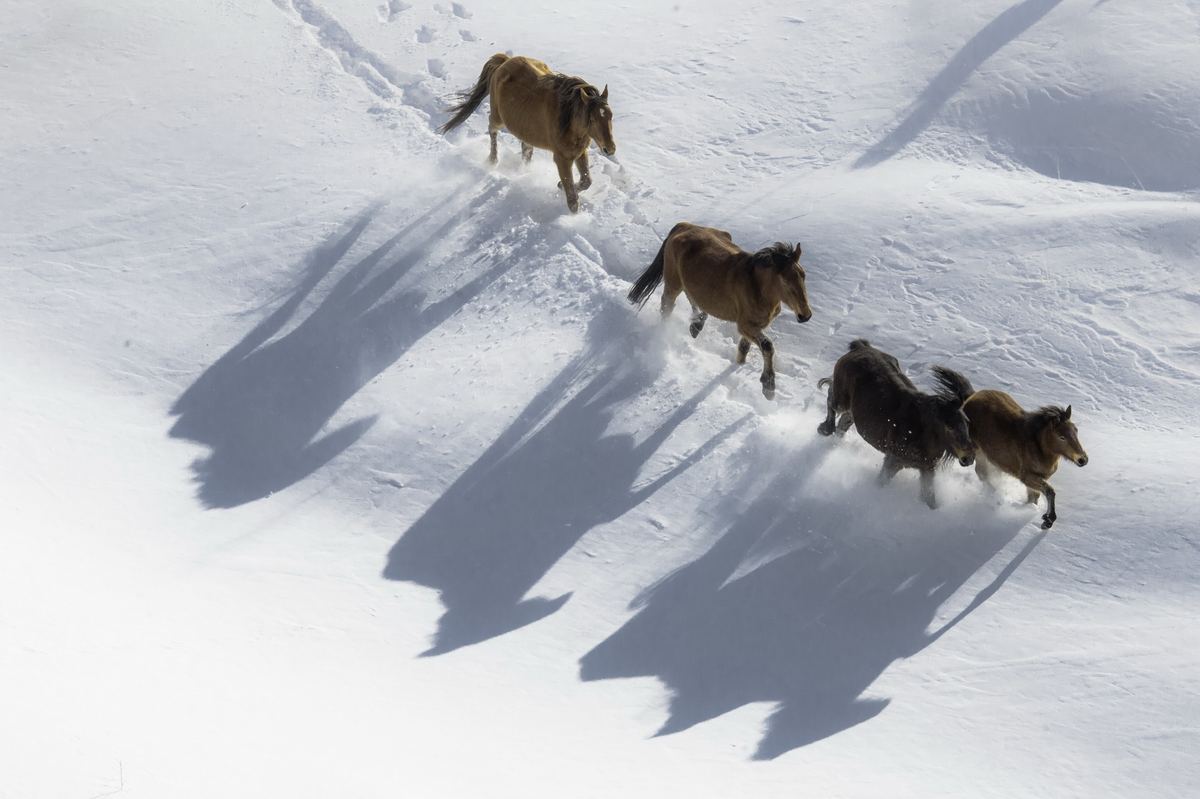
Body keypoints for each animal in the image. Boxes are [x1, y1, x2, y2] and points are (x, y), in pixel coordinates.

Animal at [439, 53, 616, 214]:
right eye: (592, 119)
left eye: (610, 115)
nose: (610, 149)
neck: (567, 120)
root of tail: (505, 61)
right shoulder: (562, 158)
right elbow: (572, 200)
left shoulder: (579, 152)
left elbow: (586, 181)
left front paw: (559, 185)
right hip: (498, 118)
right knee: (492, 130)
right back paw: (493, 160)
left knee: (526, 148)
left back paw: (524, 169)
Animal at [626, 222, 813, 399]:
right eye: (785, 281)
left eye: (803, 275)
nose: (805, 315)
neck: (756, 286)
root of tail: (682, 225)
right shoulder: (745, 325)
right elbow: (767, 346)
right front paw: (768, 387)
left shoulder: (753, 326)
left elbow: (744, 348)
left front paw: (740, 366)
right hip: (673, 284)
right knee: (667, 307)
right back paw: (665, 335)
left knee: (692, 297)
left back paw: (696, 325)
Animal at [817, 339, 975, 509]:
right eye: (949, 427)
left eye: (967, 424)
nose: (969, 458)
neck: (921, 432)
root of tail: (860, 346)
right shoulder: (893, 462)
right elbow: (880, 483)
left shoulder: (927, 469)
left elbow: (929, 498)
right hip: (842, 398)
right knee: (831, 397)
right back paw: (825, 428)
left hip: (853, 410)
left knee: (844, 421)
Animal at [962, 390, 1088, 529]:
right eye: (1062, 437)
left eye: (1076, 430)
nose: (1082, 459)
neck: (1039, 449)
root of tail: (971, 398)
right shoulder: (1027, 477)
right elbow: (1050, 491)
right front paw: (1048, 520)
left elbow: (1034, 498)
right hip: (979, 452)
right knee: (981, 472)